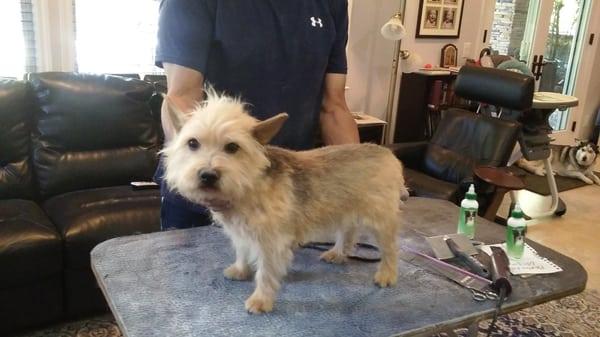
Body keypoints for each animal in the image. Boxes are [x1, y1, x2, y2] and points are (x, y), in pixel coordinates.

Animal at [162, 88, 410, 312]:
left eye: (232, 147)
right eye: (192, 143)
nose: (208, 175)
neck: (251, 184)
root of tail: (388, 154)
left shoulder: (272, 242)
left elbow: (265, 272)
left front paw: (261, 300)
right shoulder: (241, 233)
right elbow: (242, 251)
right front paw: (240, 270)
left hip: (381, 220)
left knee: (390, 248)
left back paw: (386, 274)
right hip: (345, 210)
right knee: (348, 232)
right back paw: (337, 253)